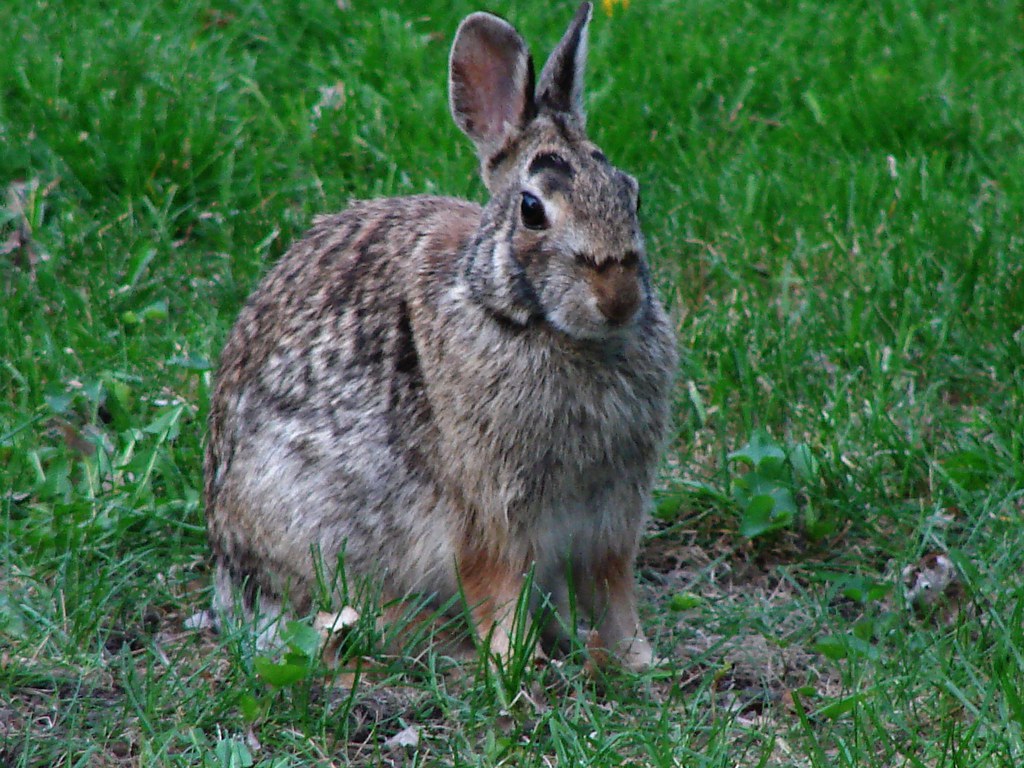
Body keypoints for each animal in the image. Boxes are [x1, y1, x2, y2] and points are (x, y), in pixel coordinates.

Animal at [203, 1, 677, 671]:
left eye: (632, 195)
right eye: (532, 210)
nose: (619, 299)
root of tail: (229, 571)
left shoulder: (608, 522)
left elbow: (613, 594)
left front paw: (637, 663)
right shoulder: (488, 517)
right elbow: (498, 590)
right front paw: (511, 666)